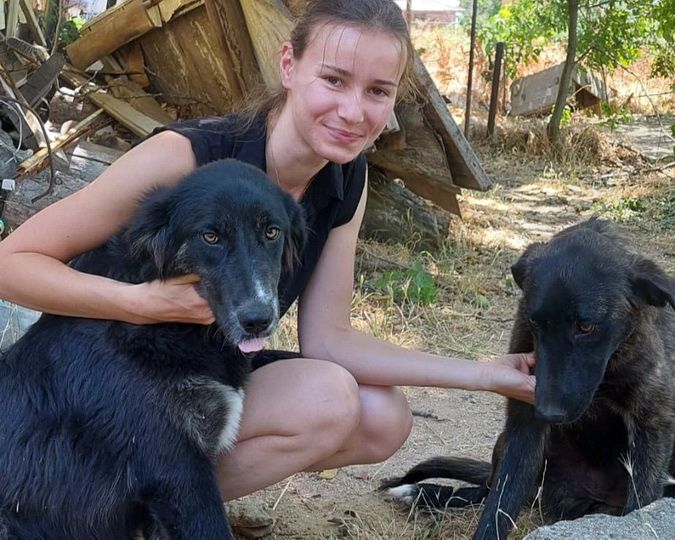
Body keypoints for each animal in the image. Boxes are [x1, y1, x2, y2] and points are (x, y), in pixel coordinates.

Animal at [382, 218, 675, 539]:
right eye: (536, 322)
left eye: (586, 327)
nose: (547, 412)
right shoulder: (523, 425)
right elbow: (500, 503)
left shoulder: (652, 426)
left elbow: (640, 502)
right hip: (507, 444)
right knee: (488, 488)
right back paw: (423, 493)